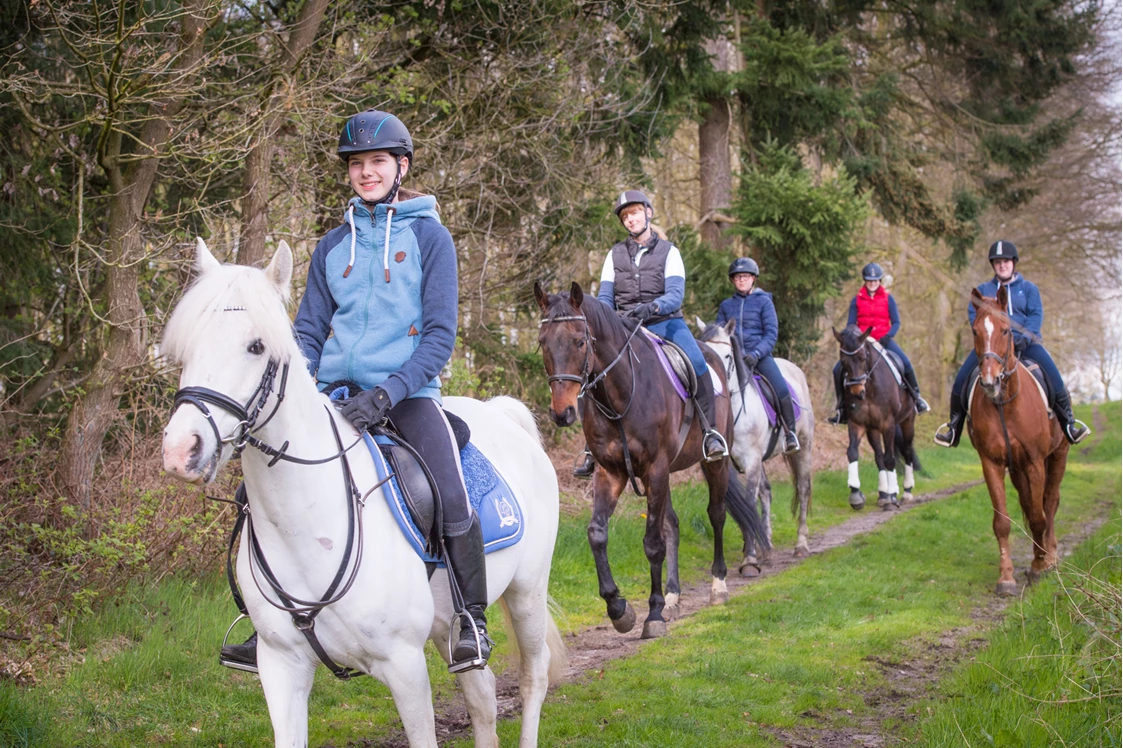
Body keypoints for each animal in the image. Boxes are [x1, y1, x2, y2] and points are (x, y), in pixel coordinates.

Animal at [160, 240, 561, 745]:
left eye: (256, 346)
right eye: (188, 345)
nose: (181, 450)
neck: (310, 527)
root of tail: (505, 417)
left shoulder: (405, 668)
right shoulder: (280, 668)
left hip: (527, 593)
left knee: (534, 676)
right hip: (447, 624)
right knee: (482, 692)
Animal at [532, 279, 763, 633]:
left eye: (580, 341)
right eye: (543, 342)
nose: (562, 412)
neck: (621, 395)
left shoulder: (655, 469)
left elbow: (653, 543)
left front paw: (653, 614)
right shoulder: (611, 472)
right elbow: (597, 534)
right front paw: (618, 608)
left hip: (714, 464)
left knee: (716, 514)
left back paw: (718, 585)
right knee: (673, 525)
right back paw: (673, 596)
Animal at [691, 318, 817, 559]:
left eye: (727, 356)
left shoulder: (751, 460)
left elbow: (749, 500)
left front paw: (749, 554)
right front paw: (753, 546)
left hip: (804, 447)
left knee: (803, 489)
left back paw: (801, 545)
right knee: (766, 492)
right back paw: (766, 542)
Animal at [835, 323, 920, 509]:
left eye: (862, 357)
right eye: (843, 361)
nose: (857, 392)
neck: (870, 388)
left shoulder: (888, 423)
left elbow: (890, 459)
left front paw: (893, 497)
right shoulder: (857, 423)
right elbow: (853, 452)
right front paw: (855, 494)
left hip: (907, 421)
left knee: (907, 451)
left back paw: (906, 492)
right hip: (872, 429)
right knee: (878, 456)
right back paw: (883, 494)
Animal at [970, 285, 1064, 593]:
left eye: (1006, 330)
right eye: (975, 331)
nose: (990, 381)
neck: (1005, 404)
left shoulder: (1035, 462)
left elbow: (1038, 516)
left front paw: (1039, 567)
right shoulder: (992, 463)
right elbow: (1002, 521)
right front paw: (1006, 577)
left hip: (1057, 456)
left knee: (1050, 502)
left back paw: (1050, 556)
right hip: (1017, 469)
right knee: (1029, 501)